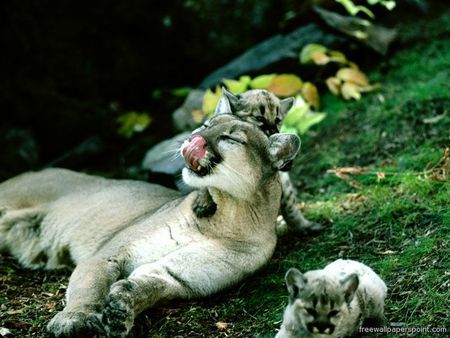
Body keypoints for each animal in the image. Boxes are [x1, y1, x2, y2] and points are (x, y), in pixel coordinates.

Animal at [1, 114, 300, 338]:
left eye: (230, 138)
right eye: (206, 125)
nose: (193, 137)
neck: (228, 217)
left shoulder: (179, 276)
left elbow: (152, 284)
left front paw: (122, 307)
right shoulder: (108, 255)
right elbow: (88, 287)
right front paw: (75, 319)